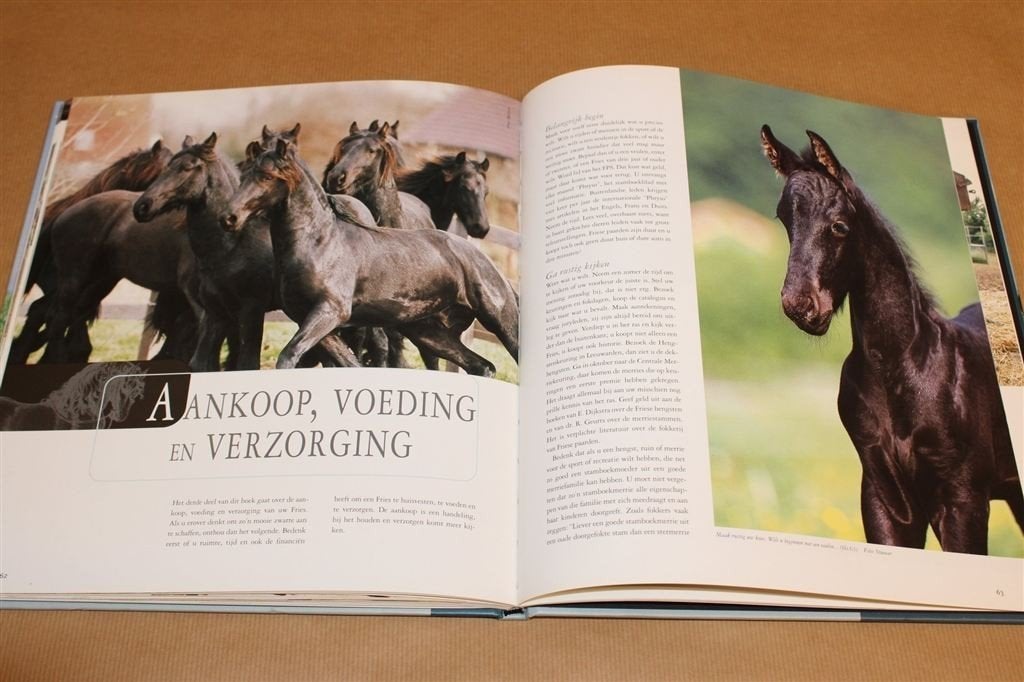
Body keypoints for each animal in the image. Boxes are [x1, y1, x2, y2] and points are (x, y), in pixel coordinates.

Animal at [219, 138, 519, 375]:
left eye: (268, 177)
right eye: (244, 175)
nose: (229, 218)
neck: (321, 245)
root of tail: (488, 263)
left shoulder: (330, 312)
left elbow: (289, 356)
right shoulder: (315, 321)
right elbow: (349, 364)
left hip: (500, 322)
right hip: (428, 332)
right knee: (481, 366)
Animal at [760, 125, 1024, 555]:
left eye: (839, 225)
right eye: (785, 218)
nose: (800, 305)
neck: (901, 366)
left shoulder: (964, 501)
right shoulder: (887, 501)